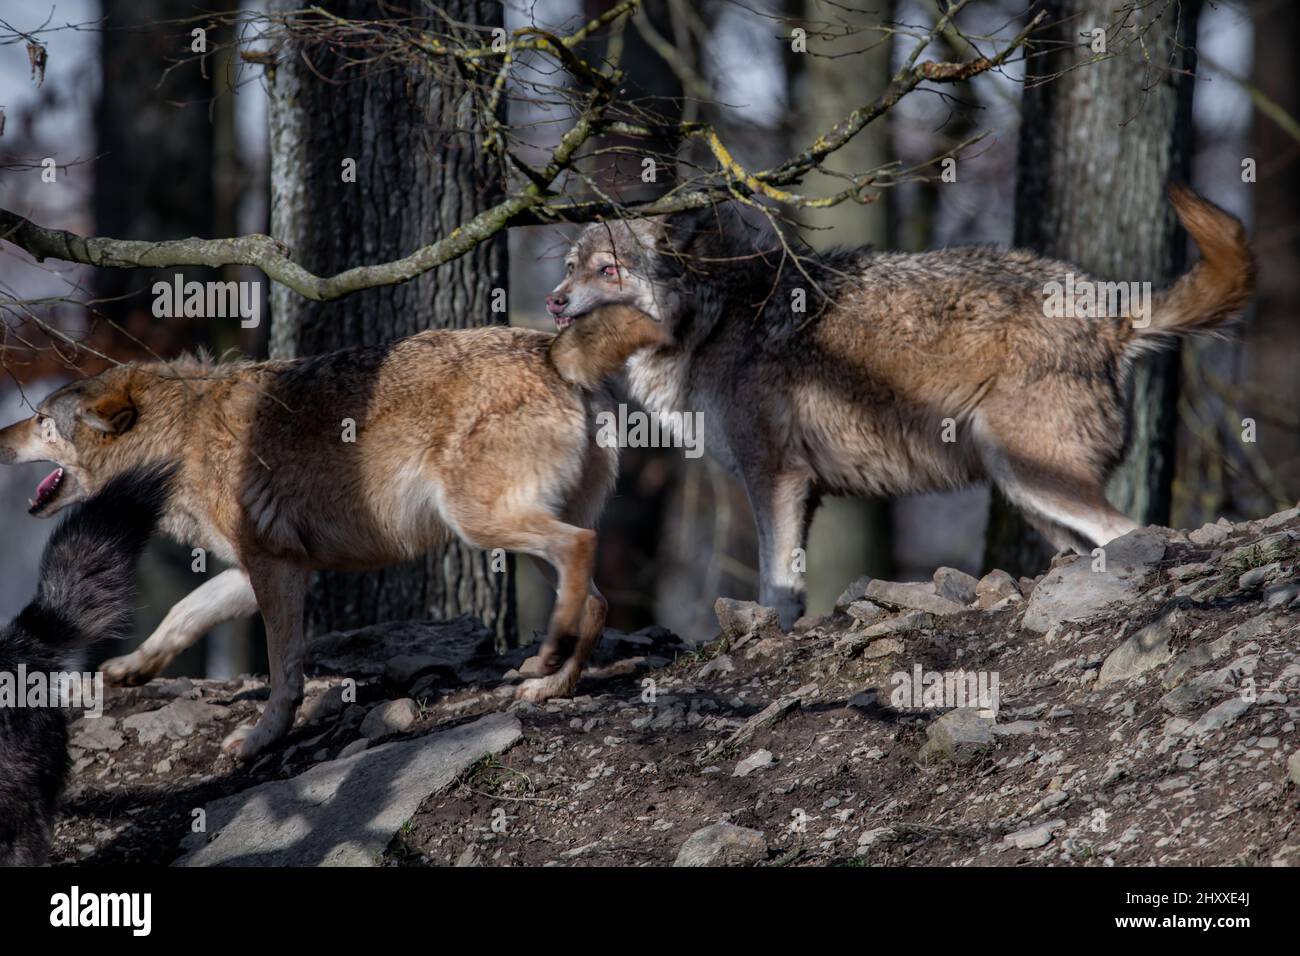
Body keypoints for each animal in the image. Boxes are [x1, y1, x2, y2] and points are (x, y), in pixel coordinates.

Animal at [0, 313, 668, 759]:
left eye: (40, 420)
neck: (178, 437)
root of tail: (552, 351)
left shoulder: (274, 568)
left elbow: (282, 669)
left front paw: (262, 738)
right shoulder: (269, 565)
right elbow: (185, 611)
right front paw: (129, 669)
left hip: (481, 524)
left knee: (581, 548)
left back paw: (548, 658)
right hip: (507, 538)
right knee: (596, 598)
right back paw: (553, 683)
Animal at [547, 186, 1255, 629]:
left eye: (609, 269)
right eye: (570, 266)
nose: (553, 300)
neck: (715, 315)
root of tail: (1110, 312)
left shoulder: (773, 475)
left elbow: (774, 581)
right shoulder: (803, 489)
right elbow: (791, 581)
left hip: (1034, 477)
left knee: (1134, 530)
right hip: (1028, 494)